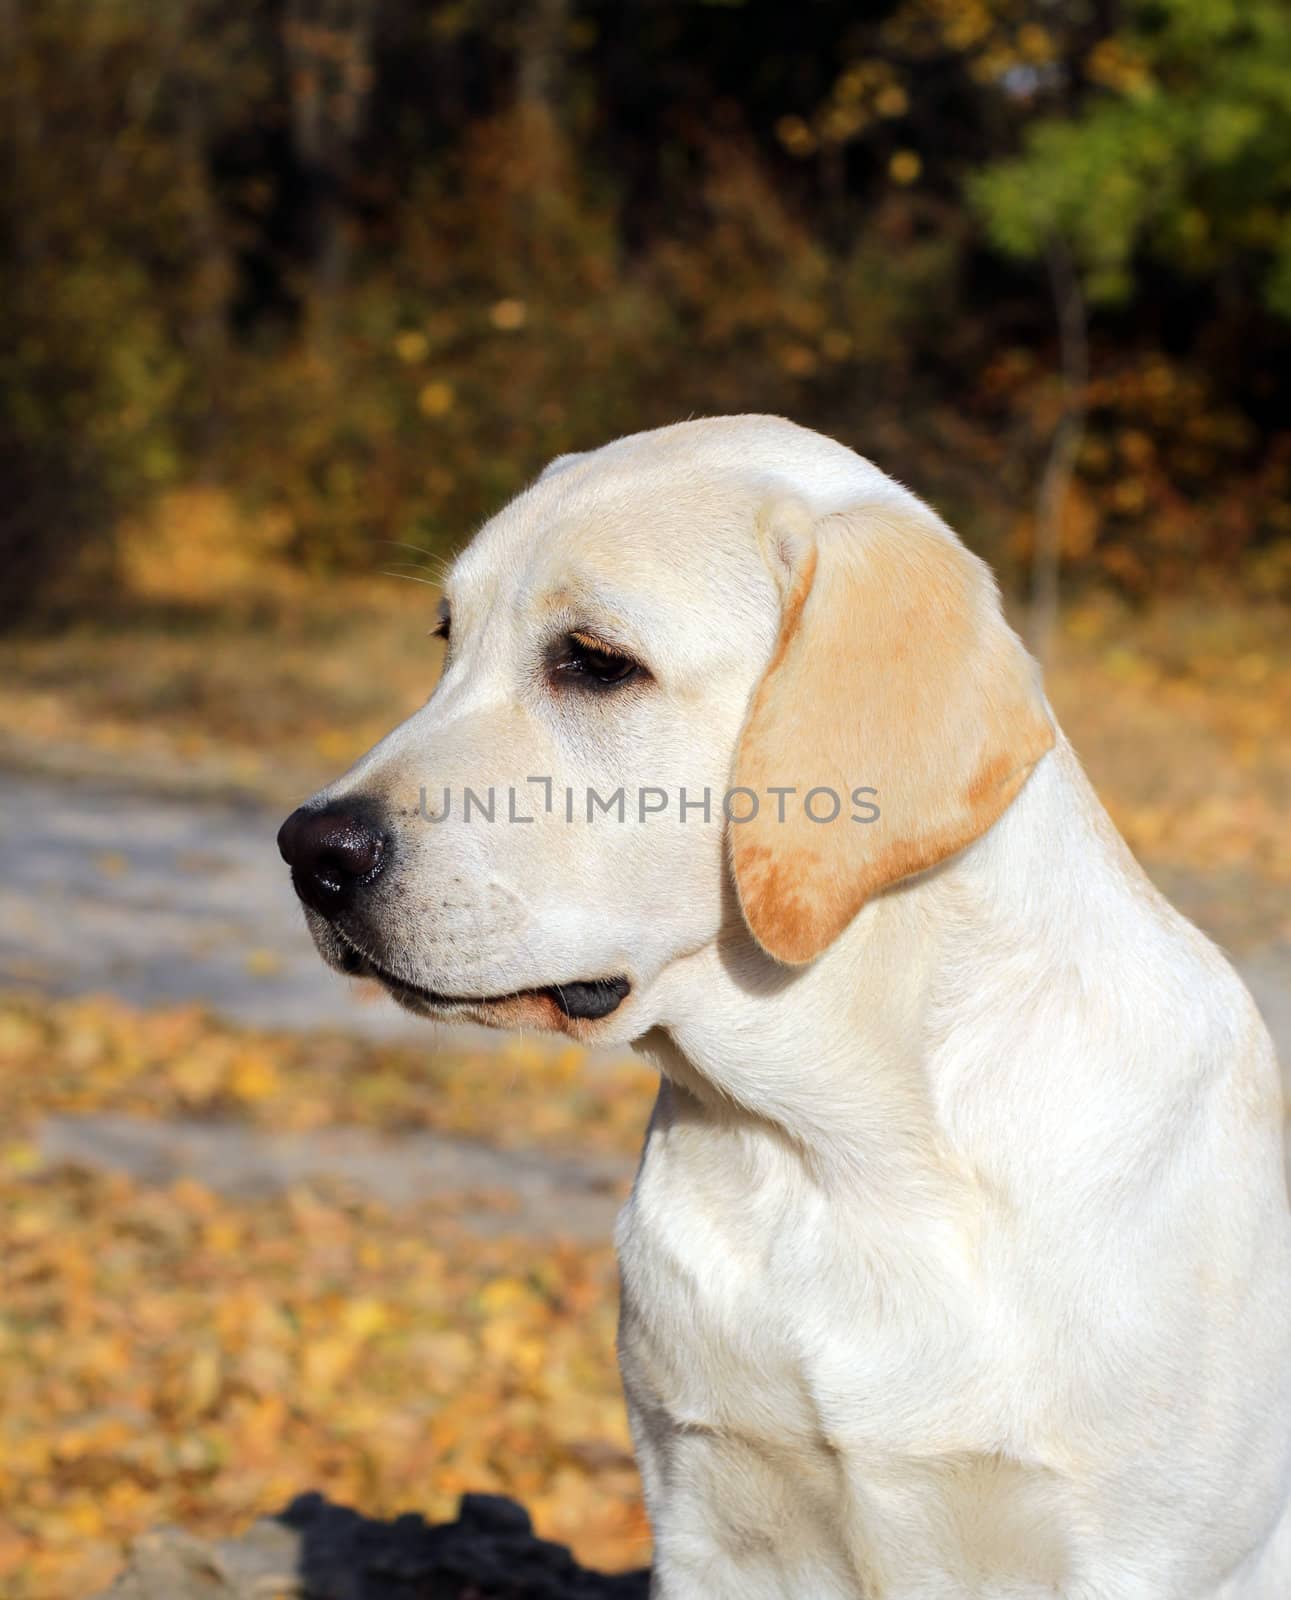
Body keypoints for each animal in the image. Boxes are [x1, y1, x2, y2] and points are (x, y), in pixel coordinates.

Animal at [278, 419, 1286, 1593]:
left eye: (594, 661)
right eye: (447, 637)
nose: (309, 853)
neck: (841, 1150)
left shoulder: (1142, 1552)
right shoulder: (706, 1523)